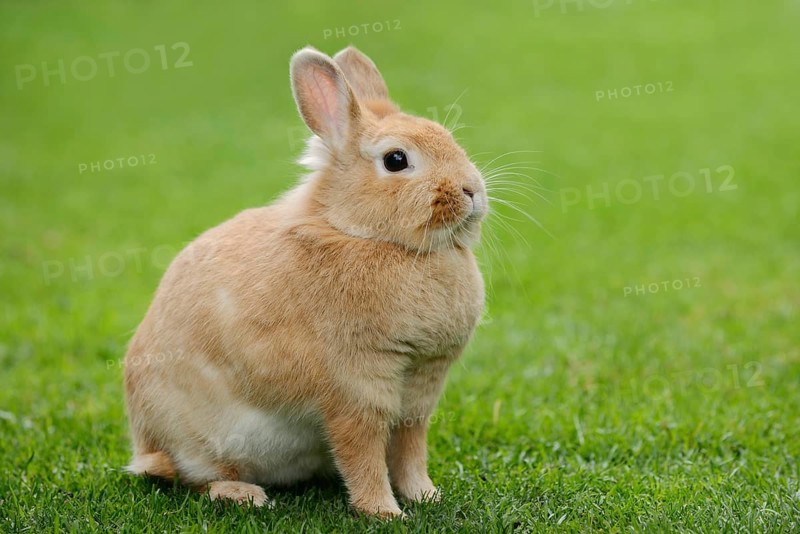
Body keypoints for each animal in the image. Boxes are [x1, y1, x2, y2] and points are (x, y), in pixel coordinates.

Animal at [123, 45, 488, 518]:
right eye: (396, 160)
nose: (472, 191)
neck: (365, 235)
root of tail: (147, 447)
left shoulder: (420, 391)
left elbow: (410, 448)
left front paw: (425, 495)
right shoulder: (356, 388)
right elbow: (363, 451)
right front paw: (383, 512)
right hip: (200, 442)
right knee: (196, 478)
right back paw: (244, 495)